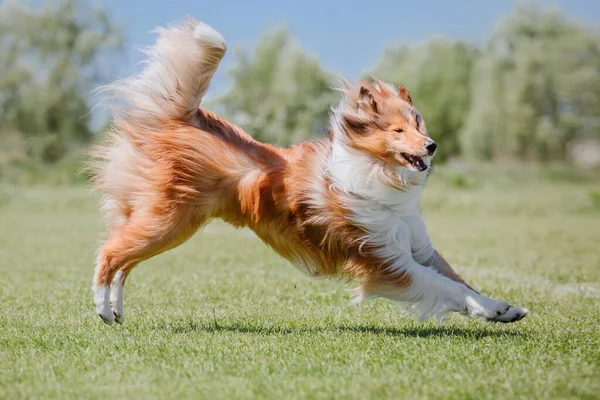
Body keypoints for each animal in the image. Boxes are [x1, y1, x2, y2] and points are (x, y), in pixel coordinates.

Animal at [89, 18, 524, 324]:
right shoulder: (385, 259)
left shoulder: (417, 248)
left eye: (420, 126)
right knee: (109, 252)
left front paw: (502, 308)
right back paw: (102, 308)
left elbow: (458, 280)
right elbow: (443, 286)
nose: (432, 146)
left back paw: (117, 311)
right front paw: (491, 312)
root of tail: (182, 118)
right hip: (170, 220)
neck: (376, 176)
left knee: (123, 259)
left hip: (164, 221)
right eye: (398, 131)